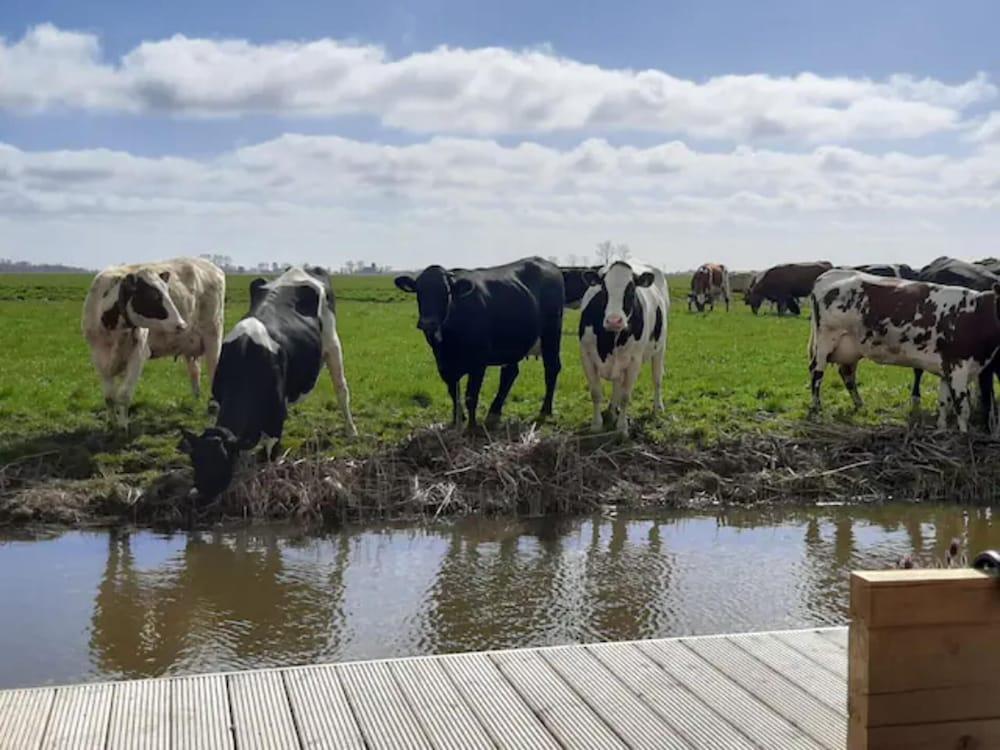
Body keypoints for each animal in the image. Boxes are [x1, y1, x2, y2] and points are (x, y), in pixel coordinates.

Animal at [82, 257, 225, 429]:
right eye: (153, 296)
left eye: (168, 293)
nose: (181, 324)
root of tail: (210, 265)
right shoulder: (98, 357)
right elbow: (109, 397)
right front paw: (110, 423)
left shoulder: (138, 354)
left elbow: (124, 395)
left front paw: (122, 427)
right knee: (194, 372)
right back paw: (196, 402)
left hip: (213, 335)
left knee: (214, 371)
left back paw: (213, 409)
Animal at [179, 266, 357, 499]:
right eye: (195, 460)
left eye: (220, 464)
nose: (200, 495)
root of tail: (302, 269)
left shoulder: (275, 417)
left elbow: (269, 456)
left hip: (332, 343)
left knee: (341, 389)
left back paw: (351, 430)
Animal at [394, 257, 564, 428]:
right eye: (419, 291)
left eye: (446, 291)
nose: (428, 323)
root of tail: (544, 262)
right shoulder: (443, 364)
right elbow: (453, 392)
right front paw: (457, 419)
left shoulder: (478, 363)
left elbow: (471, 396)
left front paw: (471, 427)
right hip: (514, 344)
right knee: (510, 373)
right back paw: (494, 414)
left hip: (551, 333)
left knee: (551, 368)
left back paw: (545, 411)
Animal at [578, 259, 669, 434]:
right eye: (603, 289)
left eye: (632, 289)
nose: (614, 320)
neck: (610, 340)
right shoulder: (586, 356)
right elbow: (596, 392)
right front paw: (596, 424)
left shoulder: (634, 360)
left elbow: (626, 395)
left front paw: (622, 427)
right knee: (616, 384)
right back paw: (612, 411)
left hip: (660, 348)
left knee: (657, 378)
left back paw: (657, 407)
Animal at [808, 269, 1000, 433]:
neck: (976, 314)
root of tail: (830, 273)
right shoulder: (957, 366)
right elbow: (962, 408)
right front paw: (964, 436)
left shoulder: (947, 367)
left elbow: (944, 403)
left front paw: (942, 430)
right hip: (825, 341)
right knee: (816, 374)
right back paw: (817, 411)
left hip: (850, 347)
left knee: (846, 374)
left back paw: (860, 406)